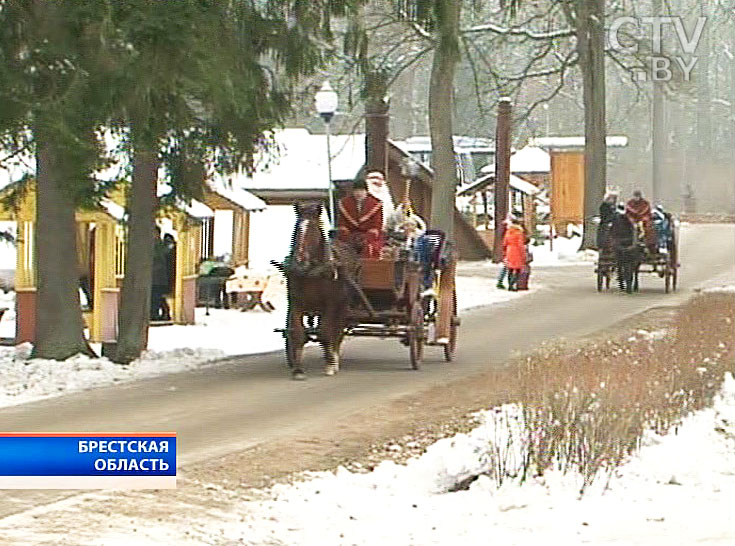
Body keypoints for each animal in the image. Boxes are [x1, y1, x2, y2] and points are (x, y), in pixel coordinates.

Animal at [276, 201, 356, 378]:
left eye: (314, 230)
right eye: (297, 229)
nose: (300, 261)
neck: (311, 272)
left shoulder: (330, 305)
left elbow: (326, 332)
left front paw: (330, 365)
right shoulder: (296, 304)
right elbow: (298, 333)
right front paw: (298, 370)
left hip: (342, 307)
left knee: (336, 332)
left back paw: (333, 358)